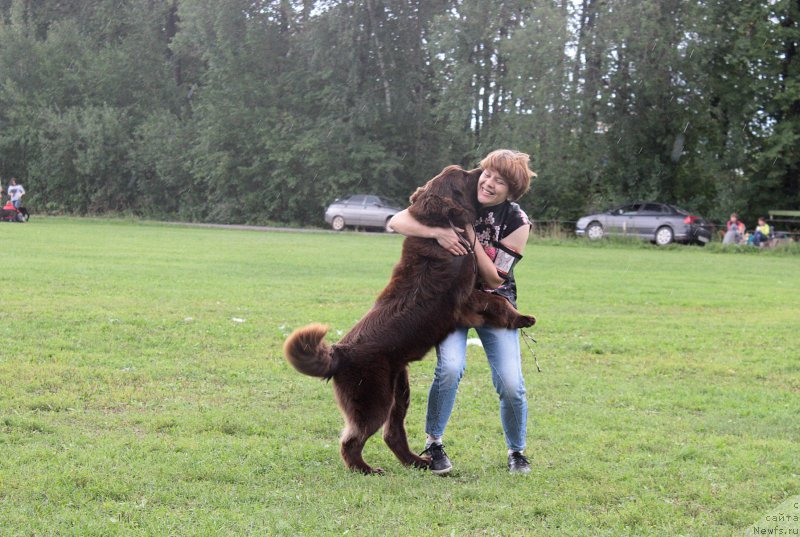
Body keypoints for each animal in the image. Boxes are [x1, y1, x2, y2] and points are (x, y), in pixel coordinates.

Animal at [284, 164, 536, 474]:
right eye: (465, 176)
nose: (480, 169)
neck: (443, 228)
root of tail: (338, 353)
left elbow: (497, 300)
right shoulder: (466, 299)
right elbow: (497, 302)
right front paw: (522, 318)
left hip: (399, 391)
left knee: (392, 434)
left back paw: (418, 462)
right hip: (374, 400)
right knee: (351, 441)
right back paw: (367, 470)